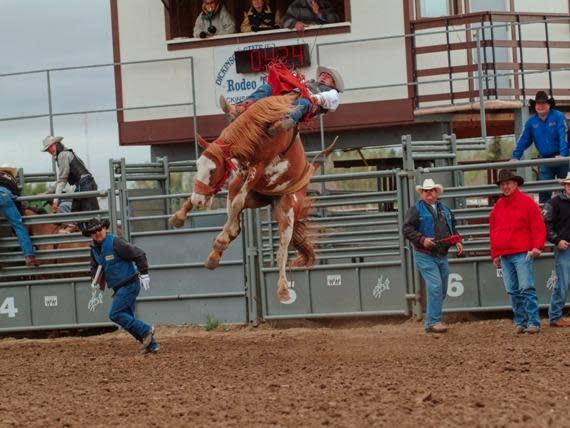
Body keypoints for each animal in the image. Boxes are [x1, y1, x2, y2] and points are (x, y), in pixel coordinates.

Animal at [166, 94, 332, 300]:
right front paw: (179, 217)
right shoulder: (239, 171)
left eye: (213, 170)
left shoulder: (258, 167)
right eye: (197, 165)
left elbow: (237, 203)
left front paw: (219, 240)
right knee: (236, 226)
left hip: (286, 211)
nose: (198, 200)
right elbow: (233, 204)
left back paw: (283, 289)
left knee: (282, 251)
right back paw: (214, 255)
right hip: (257, 198)